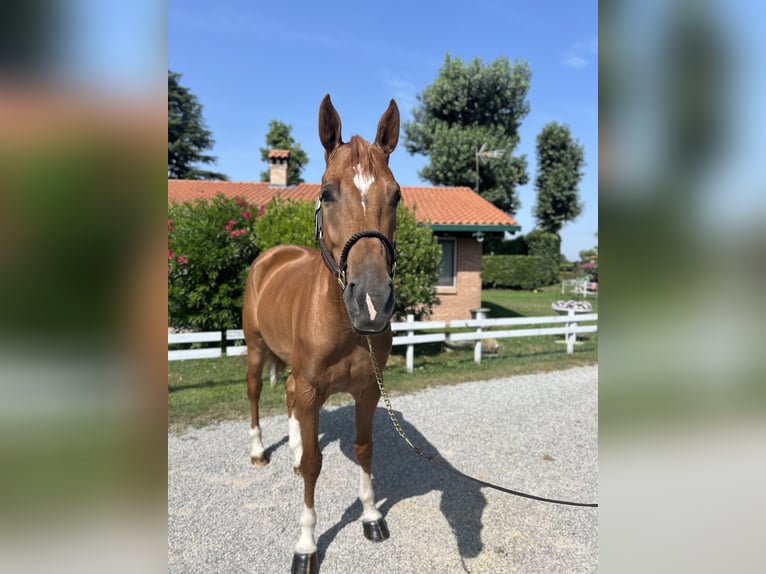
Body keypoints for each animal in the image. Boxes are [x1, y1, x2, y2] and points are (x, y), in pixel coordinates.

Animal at [244, 95, 402, 574]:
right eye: (327, 192)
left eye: (396, 195)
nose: (371, 302)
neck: (344, 327)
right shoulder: (313, 388)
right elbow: (316, 465)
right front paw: (306, 544)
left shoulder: (368, 391)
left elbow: (365, 449)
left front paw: (370, 517)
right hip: (256, 351)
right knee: (256, 394)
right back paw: (259, 451)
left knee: (288, 397)